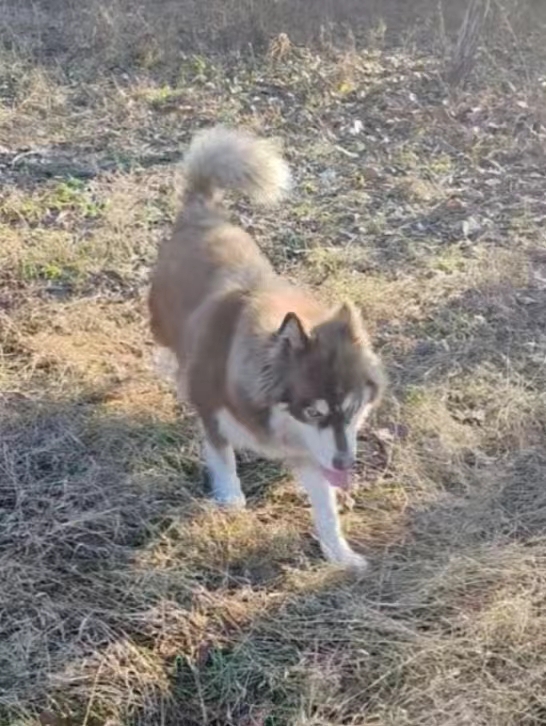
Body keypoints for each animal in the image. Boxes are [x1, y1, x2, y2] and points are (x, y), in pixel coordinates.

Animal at [149, 126, 385, 569]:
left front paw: (340, 554)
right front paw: (229, 499)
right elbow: (222, 458)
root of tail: (202, 213)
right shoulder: (212, 412)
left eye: (350, 408)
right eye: (313, 411)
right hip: (162, 322)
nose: (347, 463)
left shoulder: (314, 452)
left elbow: (326, 509)